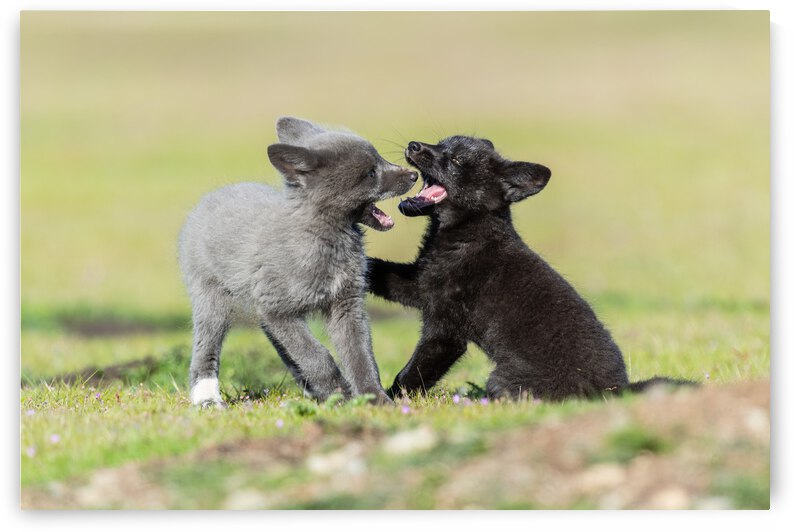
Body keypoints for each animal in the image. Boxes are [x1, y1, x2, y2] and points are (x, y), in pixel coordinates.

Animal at [178, 117, 417, 407]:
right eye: (371, 173)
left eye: (380, 158)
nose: (414, 175)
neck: (326, 240)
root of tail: (212, 197)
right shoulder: (277, 309)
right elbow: (316, 355)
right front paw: (339, 393)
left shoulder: (345, 306)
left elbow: (360, 356)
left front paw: (374, 399)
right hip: (213, 301)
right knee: (205, 348)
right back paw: (206, 398)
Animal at [368, 135, 693, 401]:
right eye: (440, 142)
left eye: (457, 160)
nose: (413, 145)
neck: (468, 233)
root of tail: (617, 391)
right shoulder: (421, 286)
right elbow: (380, 272)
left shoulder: (445, 330)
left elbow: (413, 373)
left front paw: (392, 401)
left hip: (501, 380)